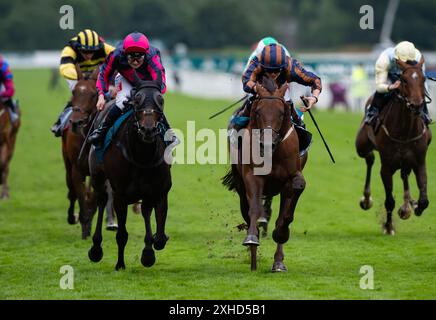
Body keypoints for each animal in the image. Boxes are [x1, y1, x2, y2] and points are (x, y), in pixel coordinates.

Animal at [87, 75, 172, 270]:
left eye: (161, 100)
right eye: (137, 100)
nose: (148, 129)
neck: (142, 156)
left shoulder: (159, 190)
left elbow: (159, 235)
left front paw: (149, 252)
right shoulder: (120, 194)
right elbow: (122, 234)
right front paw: (120, 264)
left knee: (146, 211)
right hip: (98, 177)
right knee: (101, 200)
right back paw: (96, 249)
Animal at [225, 77, 306, 270]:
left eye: (281, 113)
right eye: (258, 111)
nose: (267, 143)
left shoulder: (291, 179)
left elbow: (286, 213)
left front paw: (280, 235)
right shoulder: (253, 177)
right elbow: (254, 209)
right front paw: (252, 238)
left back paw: (278, 261)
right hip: (241, 184)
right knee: (247, 211)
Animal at [356, 56, 430, 234]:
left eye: (423, 79)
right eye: (403, 80)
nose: (416, 105)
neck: (405, 131)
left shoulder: (420, 162)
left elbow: (424, 200)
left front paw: (415, 205)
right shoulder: (387, 167)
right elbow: (389, 200)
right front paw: (388, 227)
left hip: (405, 161)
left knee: (404, 173)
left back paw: (407, 205)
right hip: (361, 145)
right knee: (369, 158)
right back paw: (367, 199)